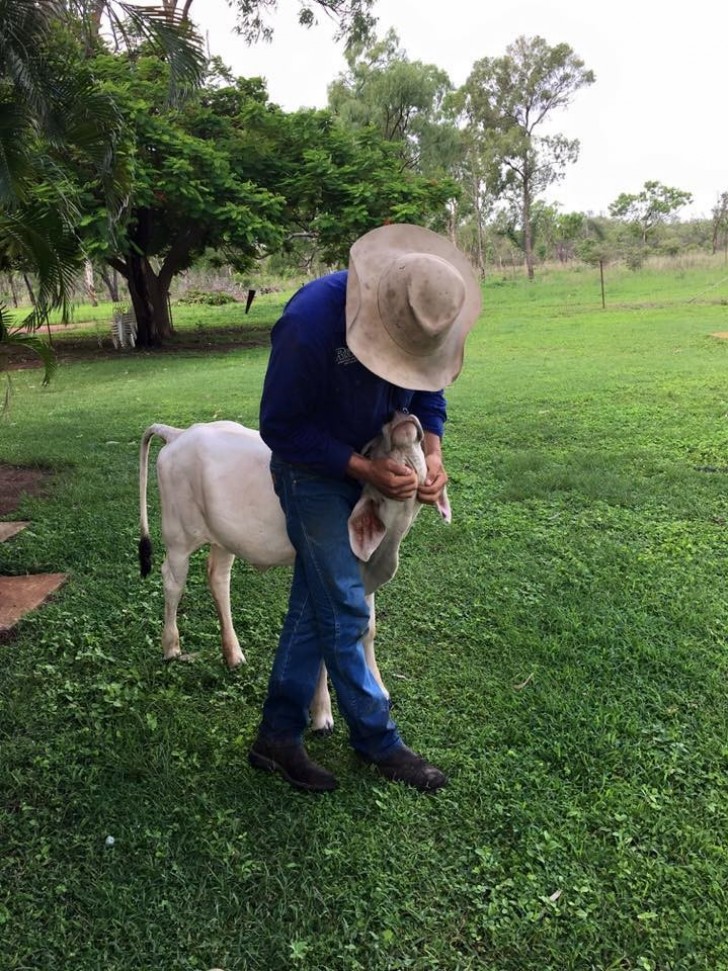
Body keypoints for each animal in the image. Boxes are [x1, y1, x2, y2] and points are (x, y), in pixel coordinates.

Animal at [134, 414, 446, 732]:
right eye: (369, 450)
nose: (401, 419)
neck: (386, 546)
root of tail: (179, 434)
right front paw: (322, 713)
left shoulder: (364, 576)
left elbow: (368, 630)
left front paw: (379, 689)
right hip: (178, 537)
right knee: (173, 580)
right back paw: (171, 647)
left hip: (225, 538)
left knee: (218, 578)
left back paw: (233, 654)